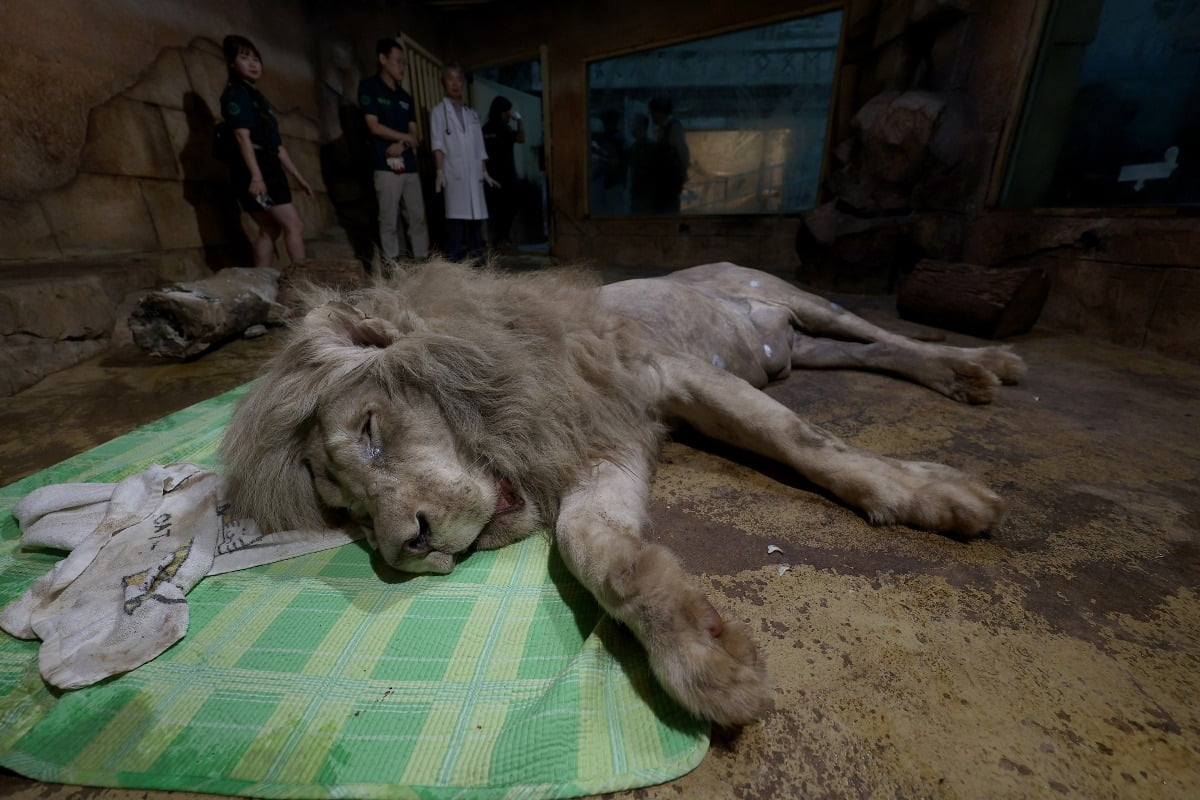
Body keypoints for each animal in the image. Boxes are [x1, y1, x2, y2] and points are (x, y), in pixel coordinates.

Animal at [218, 260, 1022, 729]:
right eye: (347, 511)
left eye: (371, 430)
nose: (406, 548)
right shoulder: (605, 450)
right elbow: (592, 549)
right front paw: (700, 652)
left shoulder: (666, 377)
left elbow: (803, 440)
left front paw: (925, 492)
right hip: (797, 344)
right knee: (870, 351)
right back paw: (963, 378)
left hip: (797, 297)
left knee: (884, 331)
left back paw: (985, 362)